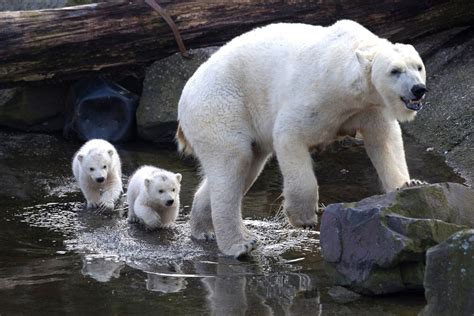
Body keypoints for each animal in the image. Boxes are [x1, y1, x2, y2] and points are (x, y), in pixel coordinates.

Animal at [176, 19, 428, 256]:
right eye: (395, 71)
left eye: (418, 66)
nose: (418, 89)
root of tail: (185, 97)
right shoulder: (319, 94)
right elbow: (289, 134)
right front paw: (303, 217)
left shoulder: (369, 106)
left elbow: (384, 139)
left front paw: (409, 183)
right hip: (222, 107)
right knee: (234, 161)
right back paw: (240, 244)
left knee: (247, 166)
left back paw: (203, 229)